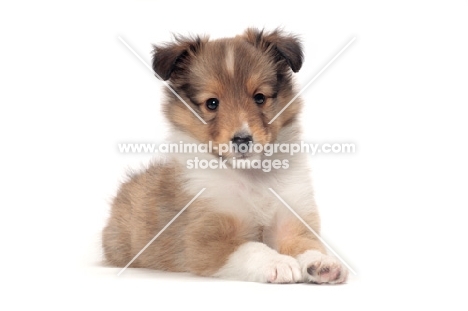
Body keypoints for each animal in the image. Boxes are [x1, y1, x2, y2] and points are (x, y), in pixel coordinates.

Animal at [104, 28, 350, 284]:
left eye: (259, 97)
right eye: (212, 103)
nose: (242, 140)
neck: (251, 176)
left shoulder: (292, 219)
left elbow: (305, 244)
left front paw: (322, 263)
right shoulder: (204, 239)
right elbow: (251, 248)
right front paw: (278, 262)